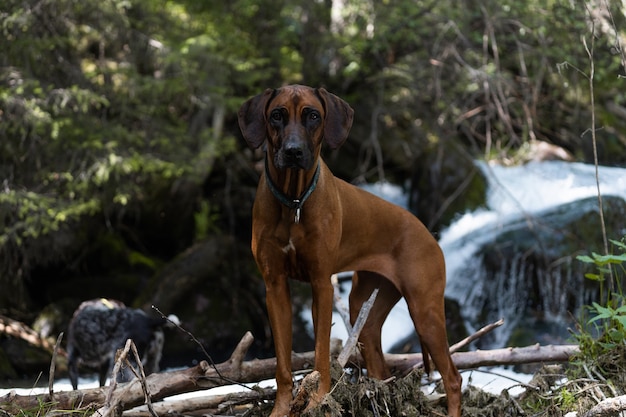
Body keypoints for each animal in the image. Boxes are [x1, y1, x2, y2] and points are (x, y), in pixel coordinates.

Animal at [236, 85, 460, 416]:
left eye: (313, 116)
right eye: (276, 115)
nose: (293, 151)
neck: (294, 201)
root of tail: (429, 234)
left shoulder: (321, 285)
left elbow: (320, 355)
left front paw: (318, 400)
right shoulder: (275, 287)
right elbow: (283, 364)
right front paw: (282, 408)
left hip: (425, 310)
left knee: (453, 378)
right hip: (364, 310)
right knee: (381, 371)